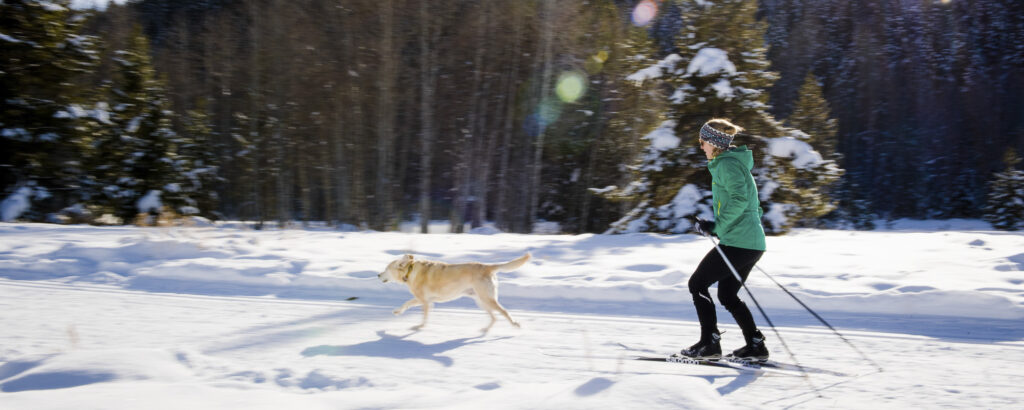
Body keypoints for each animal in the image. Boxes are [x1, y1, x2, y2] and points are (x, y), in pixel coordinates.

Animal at [380, 251, 532, 332]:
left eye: (386, 269)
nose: (378, 275)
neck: (410, 271)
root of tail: (487, 266)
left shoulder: (425, 302)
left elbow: (423, 317)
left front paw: (419, 326)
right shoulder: (423, 300)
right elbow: (406, 303)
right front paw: (398, 312)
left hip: (487, 300)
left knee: (504, 312)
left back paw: (514, 324)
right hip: (482, 302)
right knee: (494, 317)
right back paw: (485, 329)